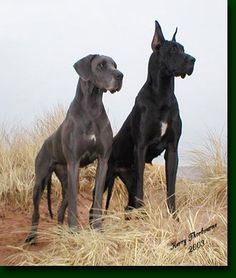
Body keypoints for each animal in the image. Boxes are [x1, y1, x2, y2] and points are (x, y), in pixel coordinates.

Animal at [25, 53, 123, 243]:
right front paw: (74, 230)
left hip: (65, 179)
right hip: (40, 181)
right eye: (101, 65)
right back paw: (32, 236)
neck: (92, 108)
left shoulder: (103, 161)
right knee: (36, 212)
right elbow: (74, 204)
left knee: (60, 210)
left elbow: (98, 197)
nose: (120, 75)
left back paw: (60, 233)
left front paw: (97, 228)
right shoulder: (74, 162)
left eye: (115, 65)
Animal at [104, 21, 195, 215]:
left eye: (184, 48)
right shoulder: (141, 147)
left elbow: (171, 188)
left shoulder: (172, 149)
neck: (162, 96)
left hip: (127, 176)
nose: (193, 60)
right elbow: (141, 188)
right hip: (106, 175)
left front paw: (173, 216)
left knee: (129, 202)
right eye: (173, 50)